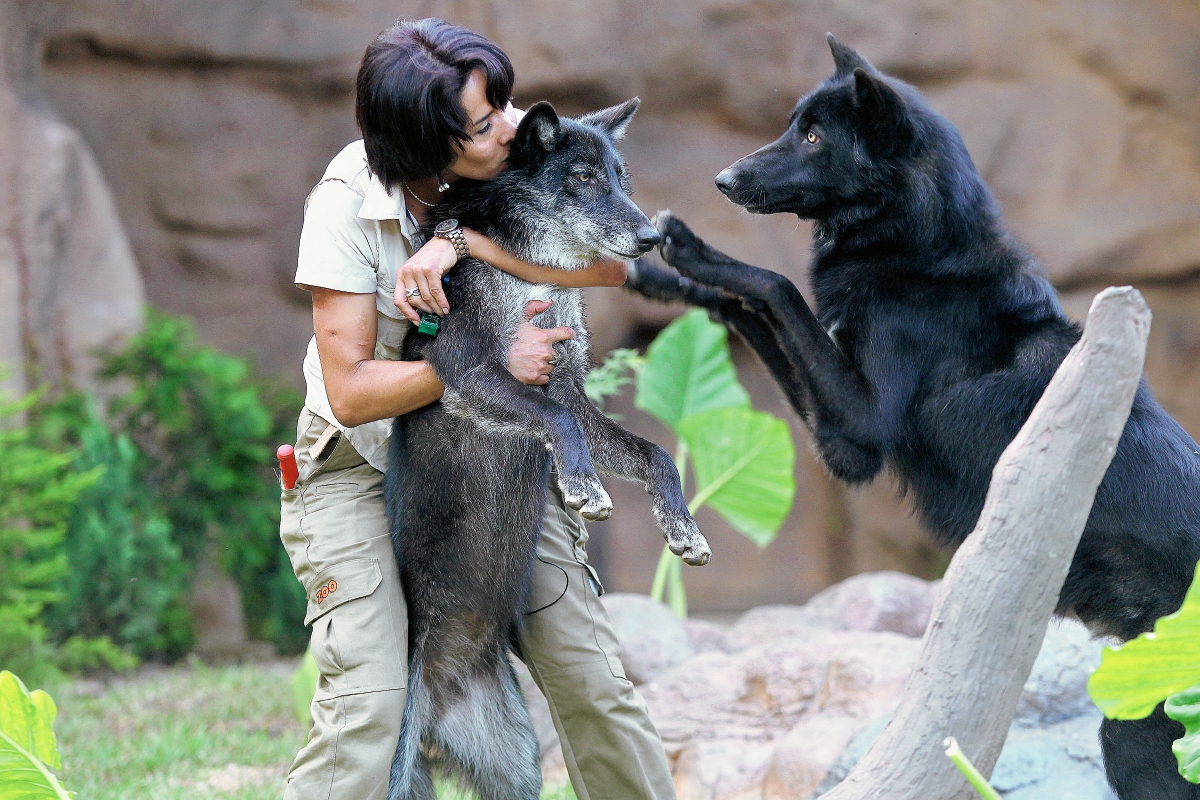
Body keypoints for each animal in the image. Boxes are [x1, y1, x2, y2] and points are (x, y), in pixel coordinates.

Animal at [381, 100, 710, 800]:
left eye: (622, 178)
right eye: (582, 177)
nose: (652, 238)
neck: (533, 274)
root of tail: (439, 708)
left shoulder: (573, 389)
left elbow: (654, 454)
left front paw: (682, 529)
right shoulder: (469, 376)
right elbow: (559, 425)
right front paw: (584, 487)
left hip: (520, 772)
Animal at [624, 35, 1200, 800]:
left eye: (814, 136)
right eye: (793, 124)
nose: (722, 179)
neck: (919, 257)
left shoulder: (861, 424)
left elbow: (774, 286)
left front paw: (691, 247)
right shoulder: (842, 442)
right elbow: (742, 307)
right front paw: (662, 278)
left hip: (1143, 721)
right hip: (1136, 720)